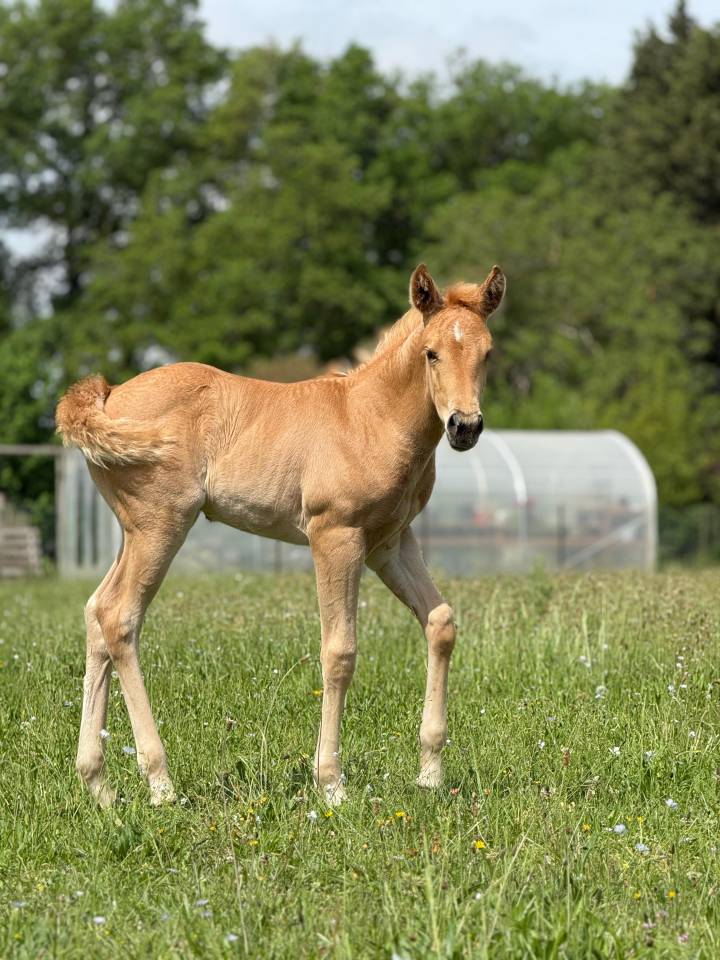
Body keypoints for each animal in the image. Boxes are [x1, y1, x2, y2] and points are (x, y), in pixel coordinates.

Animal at [55, 263, 505, 807]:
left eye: (487, 353)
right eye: (431, 353)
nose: (465, 426)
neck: (370, 418)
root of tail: (108, 393)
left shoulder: (390, 542)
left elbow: (439, 622)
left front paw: (430, 774)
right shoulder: (336, 535)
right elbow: (339, 651)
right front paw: (331, 782)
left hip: (133, 530)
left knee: (96, 613)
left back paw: (97, 784)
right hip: (161, 523)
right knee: (120, 616)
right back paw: (160, 783)